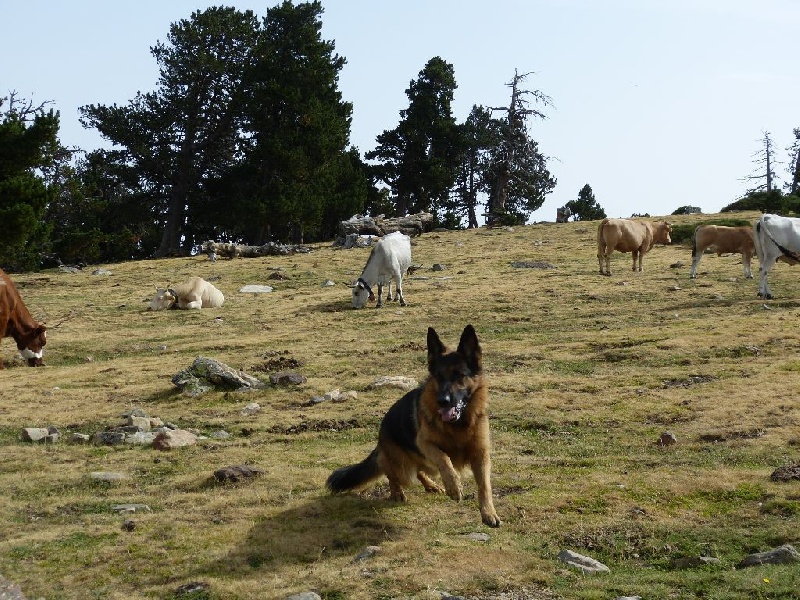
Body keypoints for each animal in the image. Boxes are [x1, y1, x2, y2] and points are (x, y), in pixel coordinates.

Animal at [326, 326, 500, 528]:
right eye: (438, 376)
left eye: (459, 375)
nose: (442, 401)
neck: (458, 425)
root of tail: (380, 439)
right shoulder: (424, 442)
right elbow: (444, 458)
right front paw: (454, 486)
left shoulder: (480, 454)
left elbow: (485, 485)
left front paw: (489, 513)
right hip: (401, 466)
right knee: (390, 471)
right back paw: (397, 492)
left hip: (421, 462)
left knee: (419, 470)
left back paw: (431, 485)